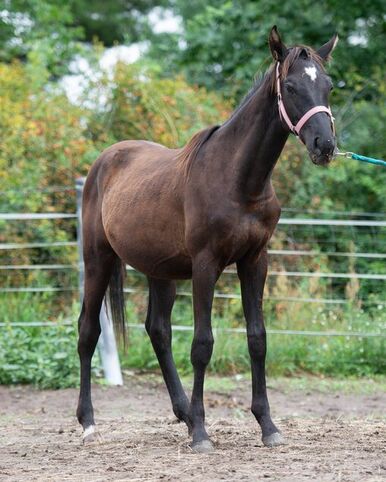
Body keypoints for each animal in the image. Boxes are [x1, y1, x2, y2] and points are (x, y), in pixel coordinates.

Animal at [77, 25, 340, 452]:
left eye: (328, 86)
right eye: (291, 86)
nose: (325, 146)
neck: (238, 179)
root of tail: (105, 160)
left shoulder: (255, 261)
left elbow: (257, 338)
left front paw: (267, 425)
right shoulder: (206, 265)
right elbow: (202, 344)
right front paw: (201, 433)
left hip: (161, 272)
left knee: (158, 331)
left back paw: (182, 413)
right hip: (97, 260)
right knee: (88, 331)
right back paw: (88, 422)